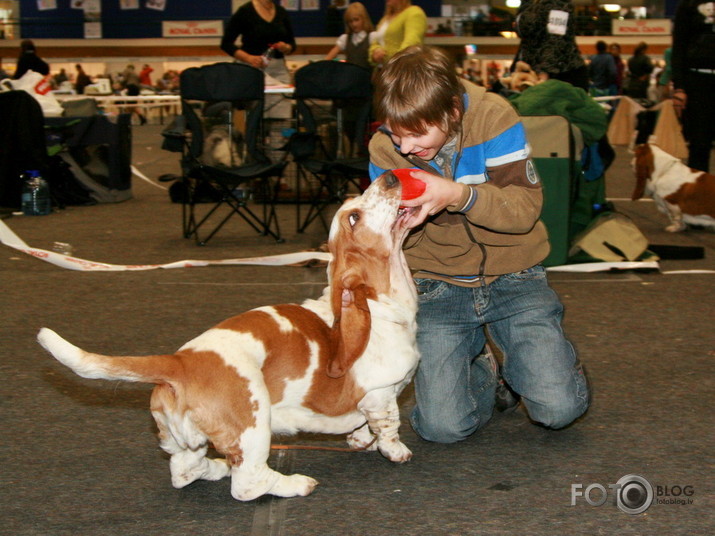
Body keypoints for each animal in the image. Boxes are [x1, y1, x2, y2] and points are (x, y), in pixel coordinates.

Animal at [37, 173, 420, 502]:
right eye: (354, 217)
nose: (389, 176)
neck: (379, 304)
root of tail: (179, 362)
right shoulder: (380, 395)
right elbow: (388, 425)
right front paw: (395, 451)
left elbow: (364, 428)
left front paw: (360, 439)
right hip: (254, 423)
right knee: (247, 483)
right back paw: (296, 484)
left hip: (183, 439)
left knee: (184, 470)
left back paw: (216, 468)